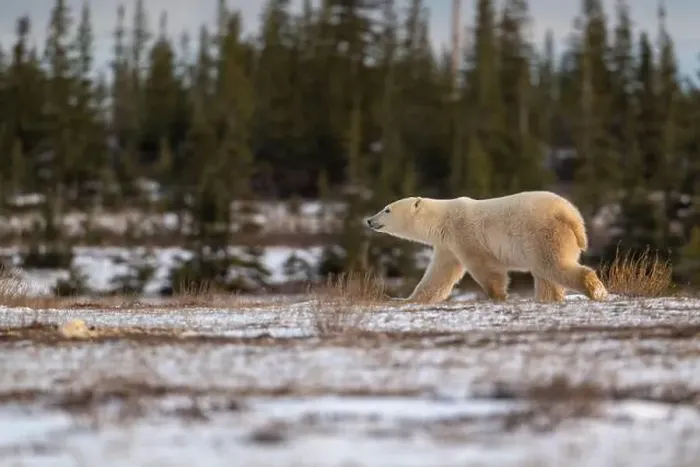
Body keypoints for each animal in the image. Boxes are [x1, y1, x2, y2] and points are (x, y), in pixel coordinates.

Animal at [364, 191, 608, 303]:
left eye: (387, 209)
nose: (369, 220)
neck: (443, 219)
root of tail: (571, 215)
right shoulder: (447, 246)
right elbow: (439, 276)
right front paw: (409, 299)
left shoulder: (465, 235)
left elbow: (485, 267)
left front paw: (497, 295)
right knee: (546, 275)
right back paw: (547, 298)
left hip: (543, 235)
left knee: (554, 266)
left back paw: (596, 290)